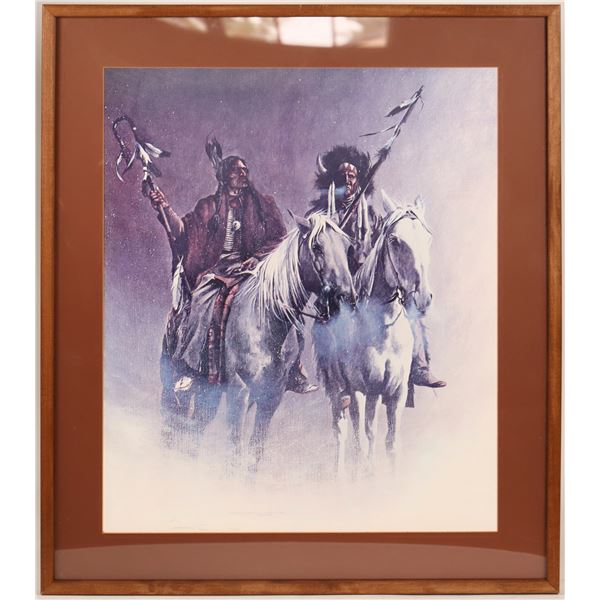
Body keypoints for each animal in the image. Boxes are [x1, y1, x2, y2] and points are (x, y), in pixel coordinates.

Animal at [313, 195, 434, 474]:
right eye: (395, 241)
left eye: (427, 239)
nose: (423, 296)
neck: (381, 327)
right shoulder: (368, 390)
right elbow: (367, 439)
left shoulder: (396, 393)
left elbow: (391, 442)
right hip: (341, 390)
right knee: (343, 432)